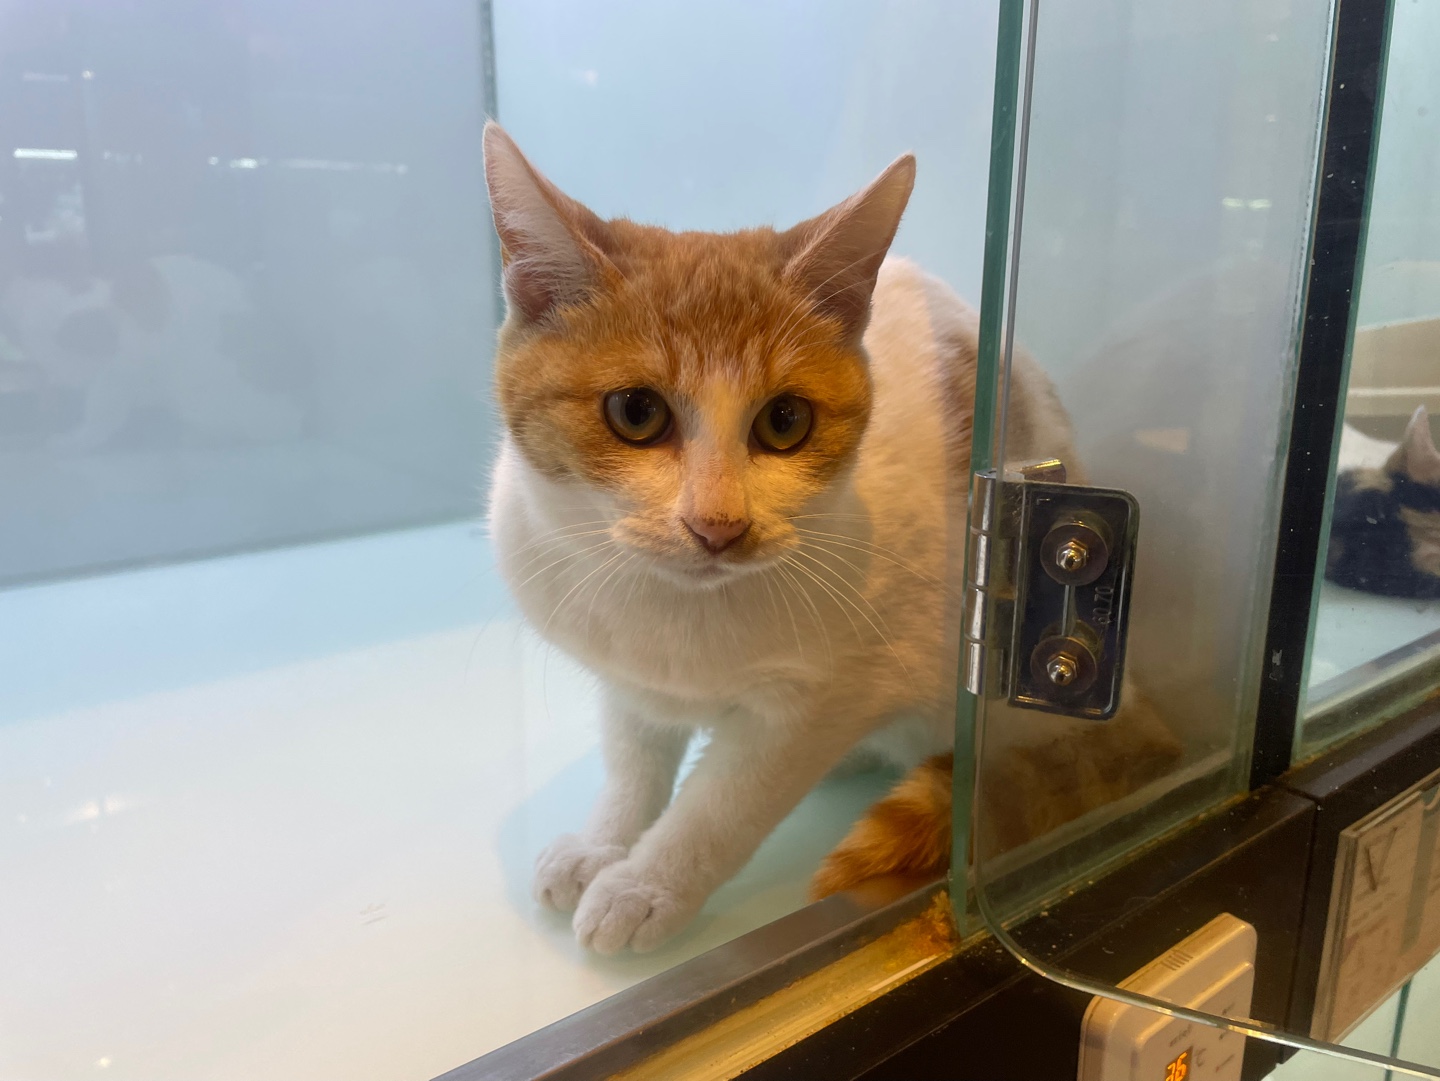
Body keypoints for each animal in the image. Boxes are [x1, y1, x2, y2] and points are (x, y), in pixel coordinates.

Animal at [483, 122, 1178, 952]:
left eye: (785, 421)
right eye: (635, 412)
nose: (718, 524)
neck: (676, 616)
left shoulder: (829, 699)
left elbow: (727, 802)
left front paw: (648, 885)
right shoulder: (629, 678)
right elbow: (633, 760)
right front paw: (603, 842)